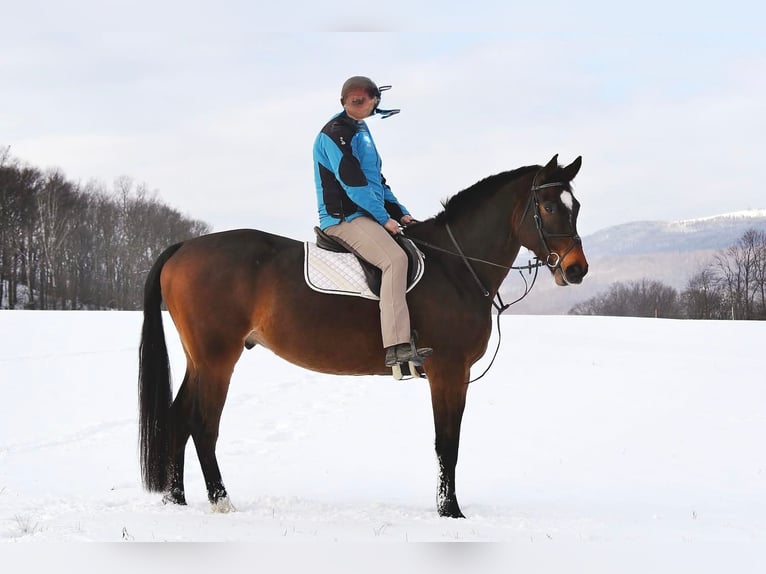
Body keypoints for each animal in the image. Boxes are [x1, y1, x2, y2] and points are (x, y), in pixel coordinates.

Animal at [138, 154, 588, 518]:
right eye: (549, 206)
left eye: (577, 206)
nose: (577, 269)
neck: (456, 266)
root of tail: (183, 248)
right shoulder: (448, 370)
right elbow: (447, 443)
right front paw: (450, 511)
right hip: (217, 359)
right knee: (202, 425)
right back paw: (220, 501)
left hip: (199, 359)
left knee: (178, 418)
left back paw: (176, 499)